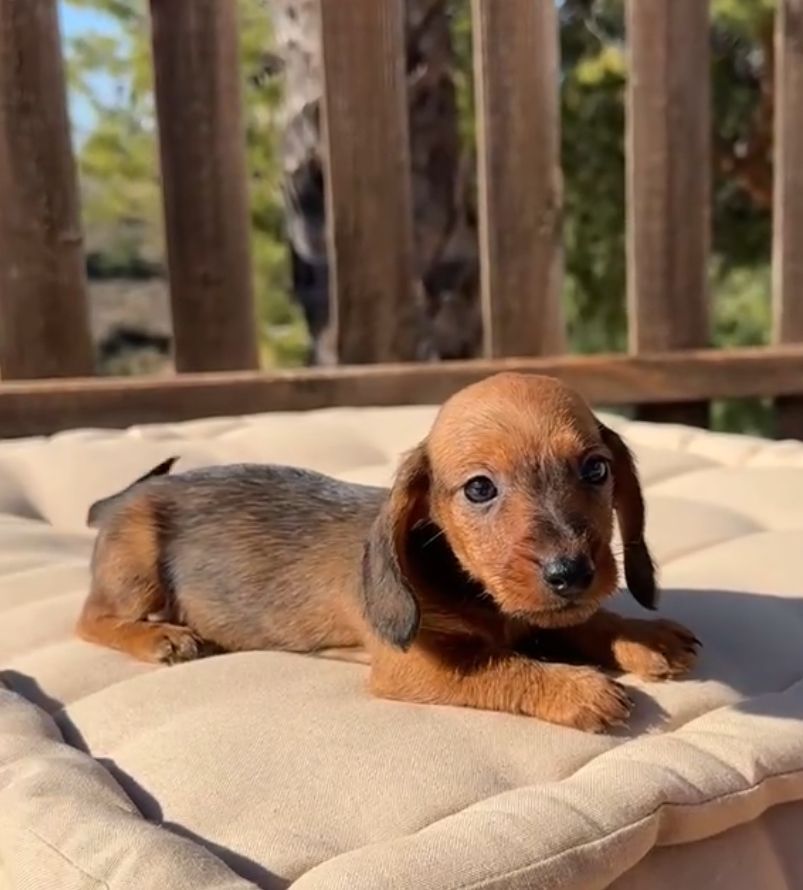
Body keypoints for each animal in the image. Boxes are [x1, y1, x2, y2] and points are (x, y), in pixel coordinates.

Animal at [77, 373, 699, 732]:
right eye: (480, 489)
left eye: (596, 469)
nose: (571, 572)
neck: (471, 586)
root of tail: (122, 497)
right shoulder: (417, 667)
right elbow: (500, 665)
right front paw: (576, 688)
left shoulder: (536, 614)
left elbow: (580, 622)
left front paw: (642, 637)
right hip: (136, 564)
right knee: (90, 620)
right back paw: (158, 637)